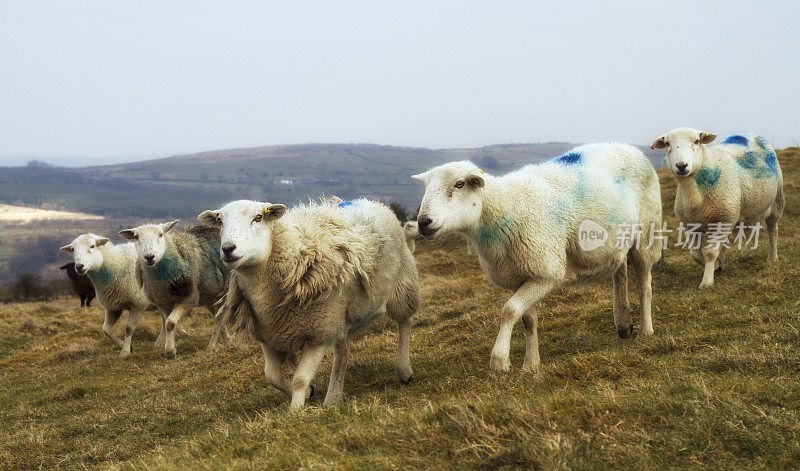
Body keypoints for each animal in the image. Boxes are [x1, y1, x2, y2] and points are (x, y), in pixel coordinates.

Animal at [119, 221, 231, 358]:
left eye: (161, 234)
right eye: (136, 237)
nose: (149, 257)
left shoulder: (188, 298)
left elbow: (170, 323)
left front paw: (170, 351)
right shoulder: (163, 302)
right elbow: (167, 323)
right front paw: (171, 347)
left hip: (226, 293)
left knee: (219, 318)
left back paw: (211, 346)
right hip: (210, 297)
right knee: (219, 316)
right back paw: (226, 339)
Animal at [200, 199, 422, 410]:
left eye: (258, 218)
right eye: (220, 221)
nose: (228, 249)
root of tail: (372, 202)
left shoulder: (319, 334)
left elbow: (300, 378)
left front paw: (295, 410)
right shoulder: (269, 336)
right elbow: (272, 376)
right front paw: (307, 393)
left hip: (400, 288)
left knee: (405, 322)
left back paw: (404, 370)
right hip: (340, 316)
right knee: (342, 353)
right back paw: (333, 398)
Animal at [412, 143, 664, 372]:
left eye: (460, 184)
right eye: (426, 188)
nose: (423, 223)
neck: (505, 209)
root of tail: (627, 146)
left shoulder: (546, 273)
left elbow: (509, 311)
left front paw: (500, 361)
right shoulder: (519, 277)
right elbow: (527, 319)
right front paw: (531, 364)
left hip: (647, 233)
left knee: (644, 285)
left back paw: (646, 330)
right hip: (616, 240)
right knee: (620, 271)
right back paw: (623, 322)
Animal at [648, 127, 780, 288]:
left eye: (696, 141)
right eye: (667, 144)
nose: (681, 165)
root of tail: (749, 134)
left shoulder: (722, 220)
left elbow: (710, 253)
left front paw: (707, 281)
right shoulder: (690, 224)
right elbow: (696, 255)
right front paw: (714, 267)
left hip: (775, 201)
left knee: (773, 230)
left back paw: (772, 258)